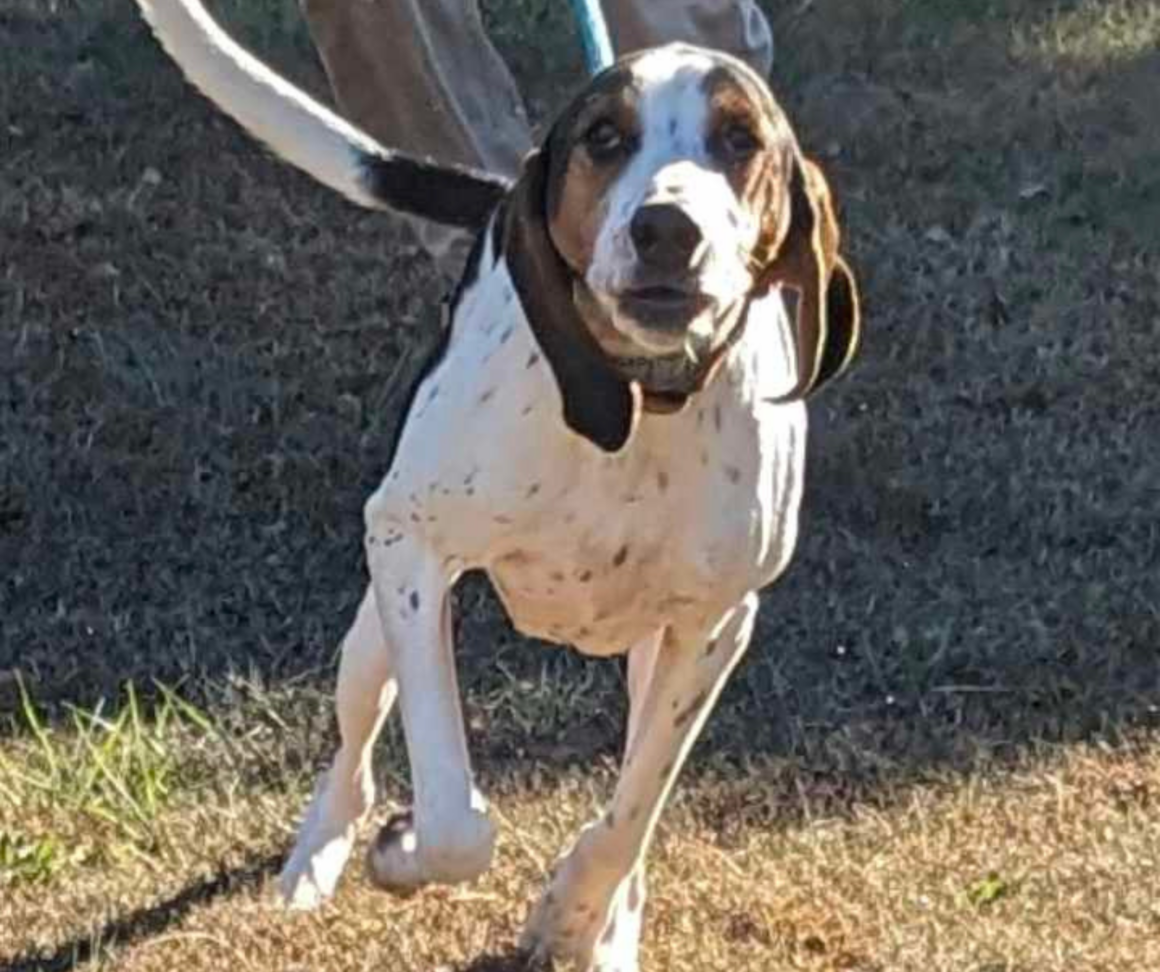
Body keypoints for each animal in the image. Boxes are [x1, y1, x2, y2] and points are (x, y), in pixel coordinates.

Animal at [133, 3, 863, 969]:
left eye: (740, 139)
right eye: (604, 137)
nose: (668, 229)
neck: (638, 400)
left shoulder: (715, 624)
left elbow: (630, 815)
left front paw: (575, 915)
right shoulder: (407, 545)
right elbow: (452, 817)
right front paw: (403, 853)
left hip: (651, 646)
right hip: (374, 627)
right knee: (353, 756)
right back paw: (315, 860)